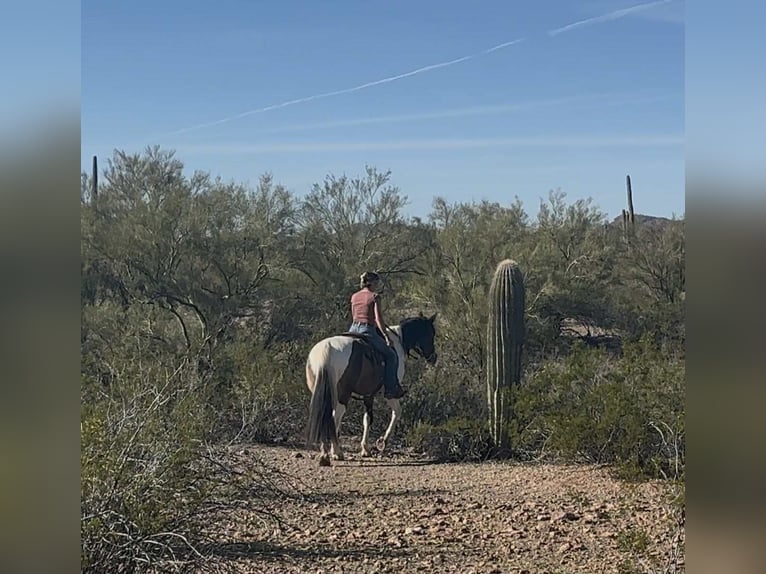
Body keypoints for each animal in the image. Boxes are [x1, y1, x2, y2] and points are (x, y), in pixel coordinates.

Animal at [305, 314, 438, 466]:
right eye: (431, 334)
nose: (434, 357)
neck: (398, 341)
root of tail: (326, 351)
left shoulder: (369, 395)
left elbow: (367, 419)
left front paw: (365, 449)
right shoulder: (389, 394)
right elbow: (396, 412)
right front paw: (382, 442)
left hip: (323, 393)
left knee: (325, 417)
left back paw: (326, 453)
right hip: (343, 395)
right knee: (333, 418)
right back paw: (336, 452)